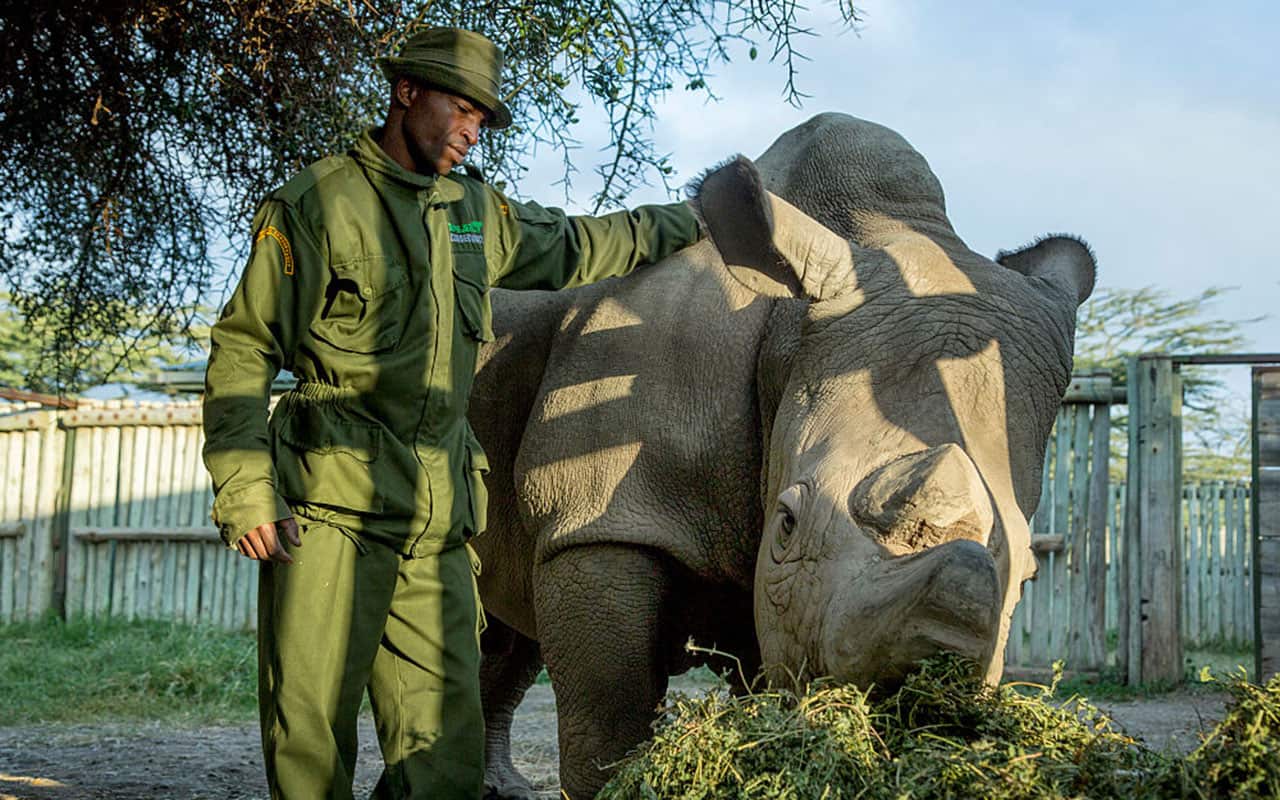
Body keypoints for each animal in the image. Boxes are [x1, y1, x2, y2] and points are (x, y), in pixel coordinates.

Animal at [468, 112, 1096, 799]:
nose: (895, 707)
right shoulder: (600, 518)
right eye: (788, 522)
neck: (786, 338)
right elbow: (609, 719)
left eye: (1029, 574)